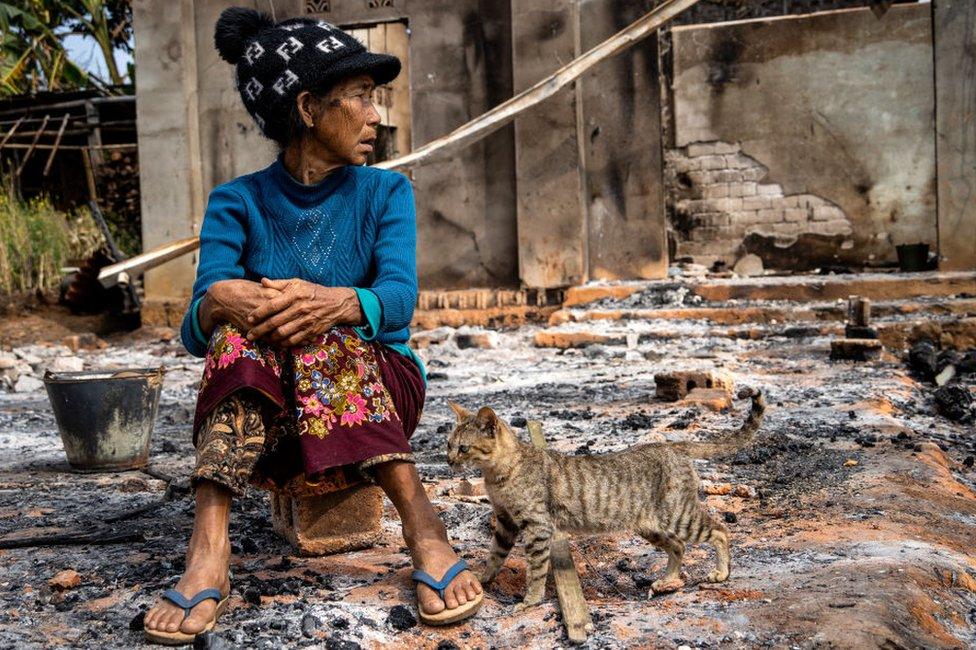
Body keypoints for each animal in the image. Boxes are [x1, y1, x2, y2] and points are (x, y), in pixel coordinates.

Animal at [446, 388, 768, 604]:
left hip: (679, 515)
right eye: (448, 444)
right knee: (678, 547)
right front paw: (482, 579)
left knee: (720, 530)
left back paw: (720, 573)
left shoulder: (537, 526)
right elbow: (495, 556)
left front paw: (531, 600)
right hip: (651, 526)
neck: (496, 475)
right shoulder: (505, 521)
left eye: (463, 448)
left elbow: (536, 569)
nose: (448, 460)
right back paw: (666, 580)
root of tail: (672, 445)